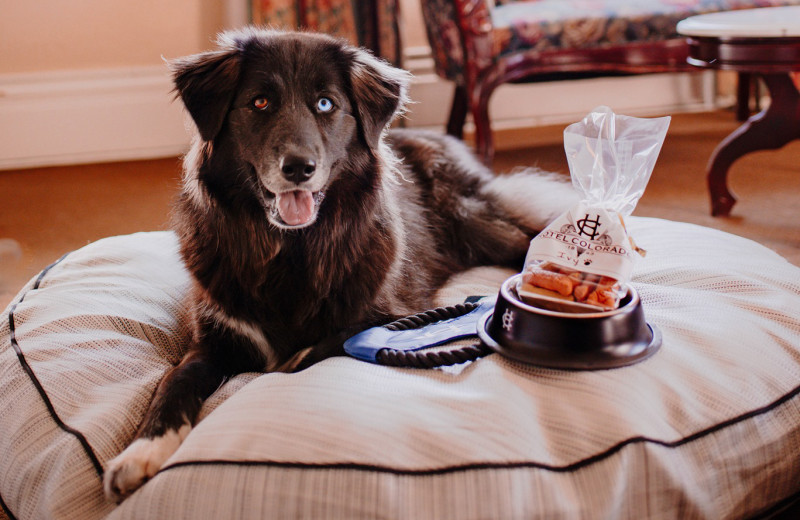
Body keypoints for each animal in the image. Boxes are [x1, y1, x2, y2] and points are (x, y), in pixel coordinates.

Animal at [103, 27, 576, 500]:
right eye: (260, 102)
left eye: (326, 104)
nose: (298, 168)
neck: (290, 250)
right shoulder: (210, 336)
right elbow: (174, 381)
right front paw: (142, 450)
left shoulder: (392, 312)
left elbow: (324, 345)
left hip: (474, 222)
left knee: (529, 239)